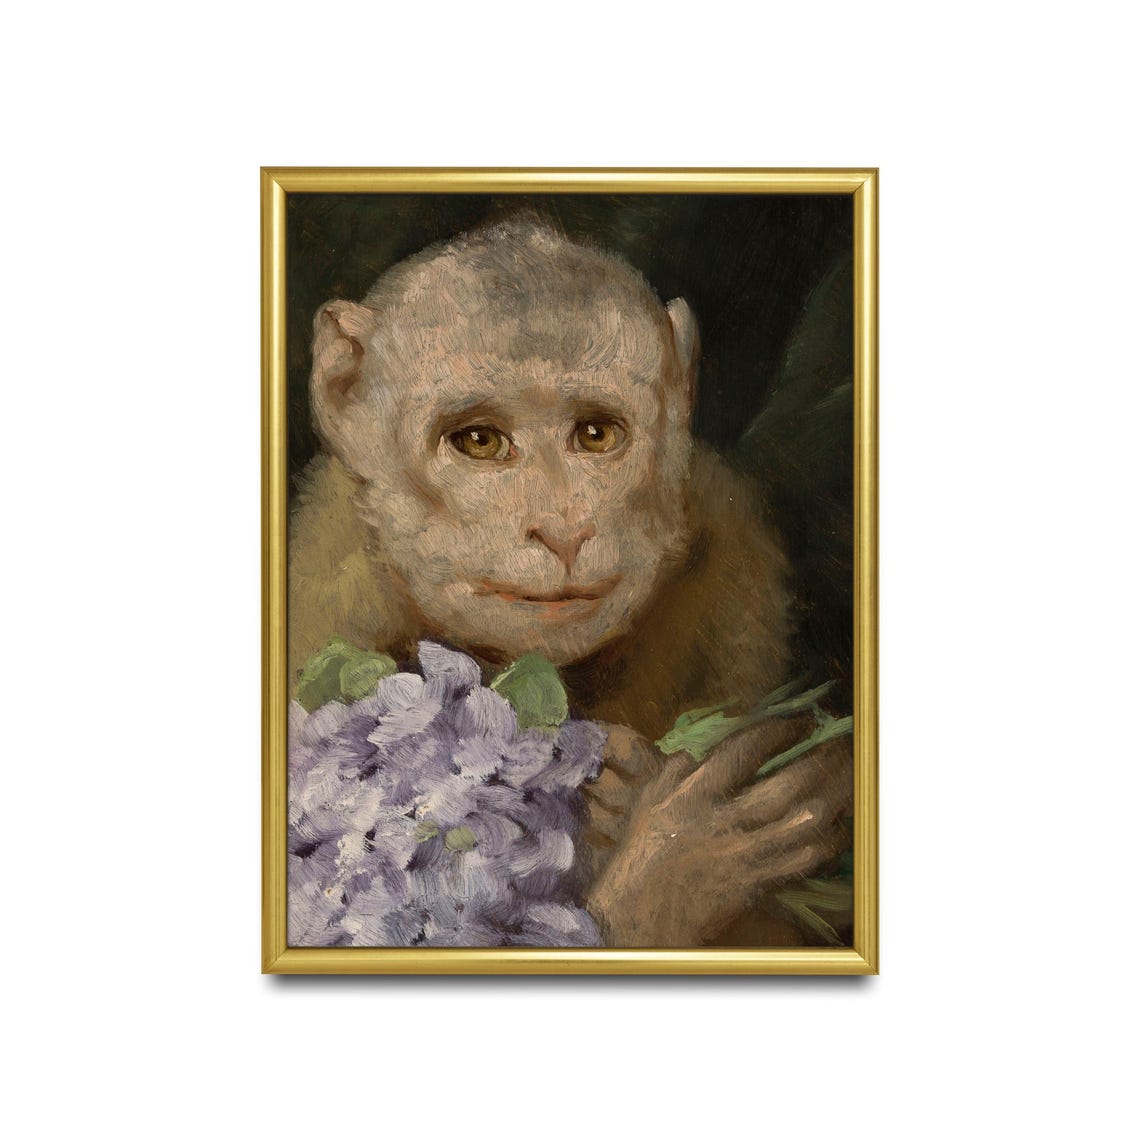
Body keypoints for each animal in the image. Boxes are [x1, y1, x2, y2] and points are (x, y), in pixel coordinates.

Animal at [288, 218, 853, 947]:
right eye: (479, 441)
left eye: (596, 434)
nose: (562, 529)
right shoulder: (327, 584)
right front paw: (675, 858)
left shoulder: (731, 552)